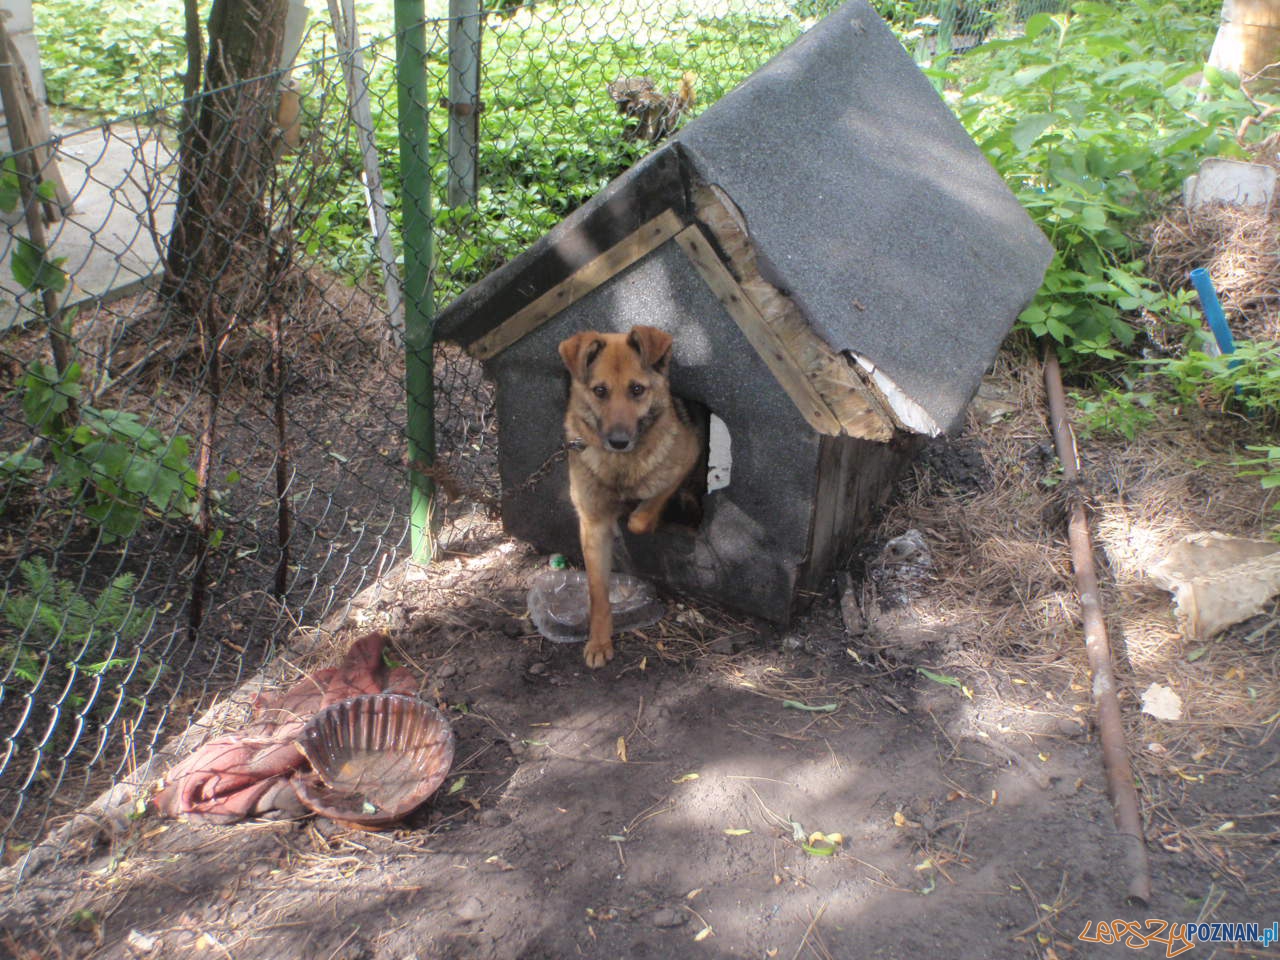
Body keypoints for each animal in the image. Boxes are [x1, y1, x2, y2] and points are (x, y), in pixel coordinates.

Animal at [560, 325, 701, 670]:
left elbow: (644, 513)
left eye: (637, 389)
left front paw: (640, 515)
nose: (619, 441)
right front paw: (599, 641)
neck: (620, 467)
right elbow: (597, 591)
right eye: (600, 391)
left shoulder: (688, 455)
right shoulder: (593, 523)